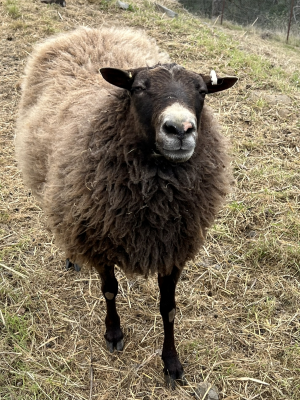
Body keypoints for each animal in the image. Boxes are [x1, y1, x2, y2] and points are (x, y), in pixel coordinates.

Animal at [15, 26, 238, 390]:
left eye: (203, 91)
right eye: (138, 89)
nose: (180, 129)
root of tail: (89, 31)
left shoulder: (174, 248)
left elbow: (168, 308)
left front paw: (171, 363)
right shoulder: (97, 238)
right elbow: (109, 290)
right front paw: (114, 333)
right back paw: (71, 257)